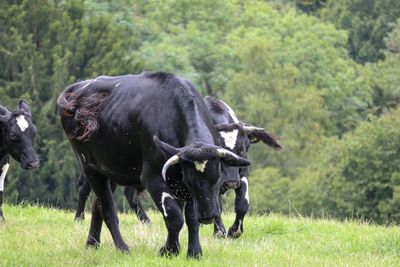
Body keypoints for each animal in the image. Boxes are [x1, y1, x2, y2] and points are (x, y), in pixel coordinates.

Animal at [57, 73, 250, 260]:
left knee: (97, 206)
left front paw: (194, 253)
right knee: (107, 209)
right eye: (191, 181)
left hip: (111, 170)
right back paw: (122, 248)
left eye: (216, 179)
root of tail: (76, 89)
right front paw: (169, 250)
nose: (208, 216)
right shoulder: (153, 178)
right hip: (90, 168)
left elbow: (191, 220)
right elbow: (174, 217)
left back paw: (92, 243)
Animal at [203, 97, 282, 240]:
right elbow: (216, 206)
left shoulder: (243, 173)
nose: (231, 182)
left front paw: (235, 231)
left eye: (241, 151)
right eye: (219, 153)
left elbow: (242, 203)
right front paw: (219, 232)